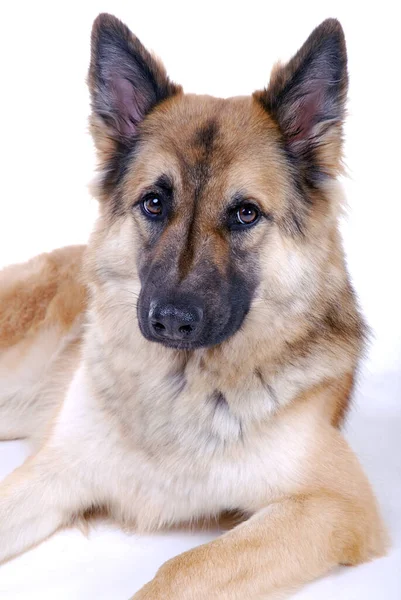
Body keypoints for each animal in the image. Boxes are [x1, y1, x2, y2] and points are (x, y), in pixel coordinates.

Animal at [0, 14, 388, 600]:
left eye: (246, 213)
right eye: (154, 203)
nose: (170, 321)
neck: (181, 386)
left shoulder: (332, 506)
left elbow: (180, 570)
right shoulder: (54, 472)